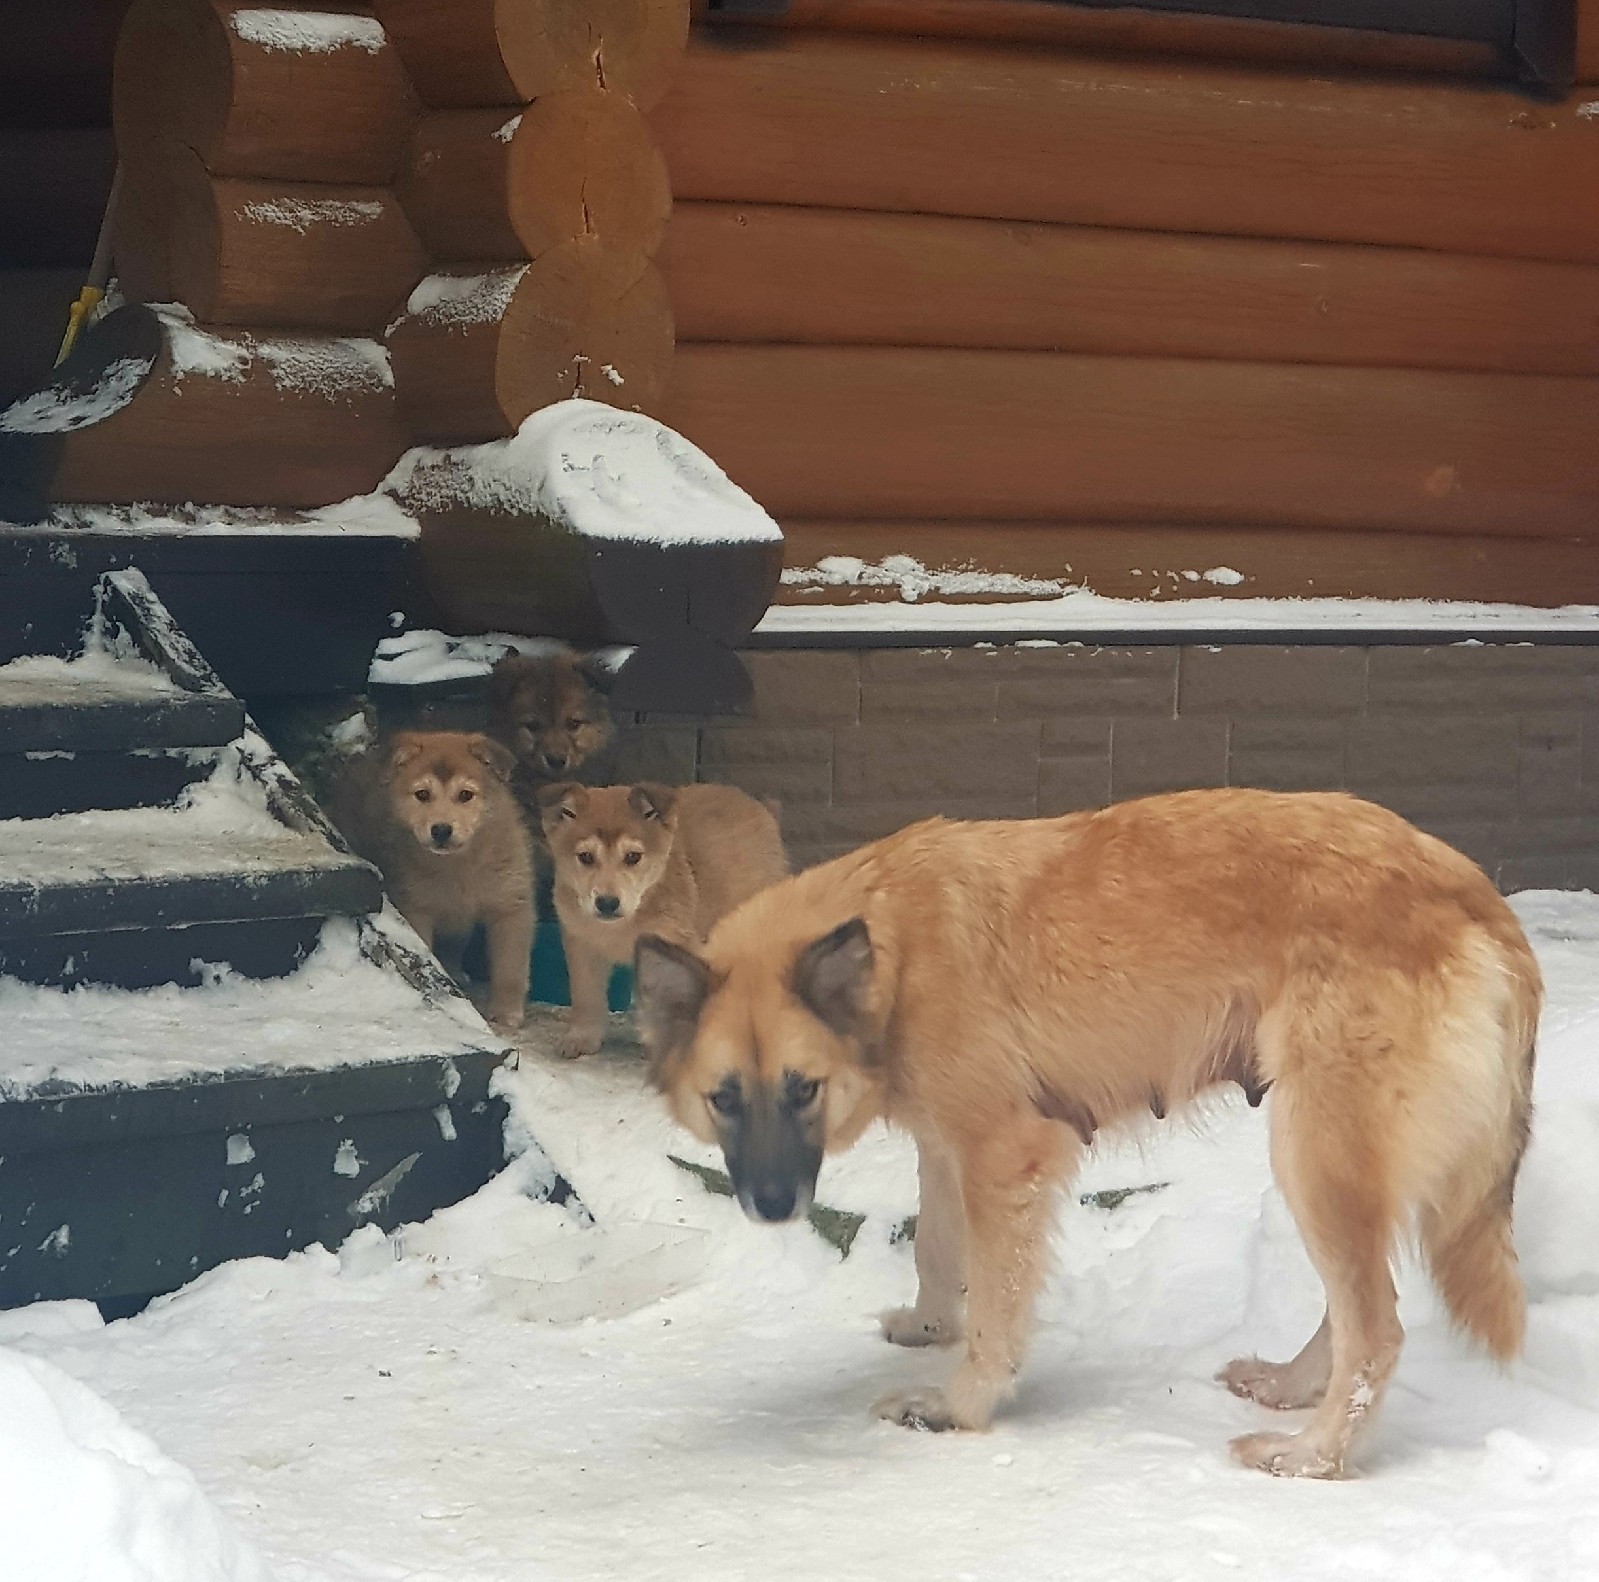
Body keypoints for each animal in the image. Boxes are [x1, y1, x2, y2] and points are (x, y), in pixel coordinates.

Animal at [327, 732, 534, 1030]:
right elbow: (427, 956)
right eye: (422, 794)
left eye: (465, 795)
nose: (441, 830)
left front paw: (507, 1013)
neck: (459, 866)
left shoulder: (510, 908)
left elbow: (510, 968)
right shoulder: (417, 909)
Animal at [540, 780, 783, 1062]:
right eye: (586, 857)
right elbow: (586, 997)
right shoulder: (582, 947)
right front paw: (582, 1037)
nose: (607, 903)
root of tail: (760, 806)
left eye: (633, 857)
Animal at [630, 790, 1541, 1484]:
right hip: (1330, 1164)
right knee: (1357, 1312)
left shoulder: (1006, 1154)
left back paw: (1310, 1456)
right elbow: (935, 1246)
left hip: (1313, 1155)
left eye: (802, 1090)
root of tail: (1474, 892)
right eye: (723, 1099)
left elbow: (995, 1310)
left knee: (1376, 1331)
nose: (771, 1206)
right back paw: (1290, 1387)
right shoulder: (947, 1143)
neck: (892, 953)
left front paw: (957, 1408)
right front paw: (928, 1327)